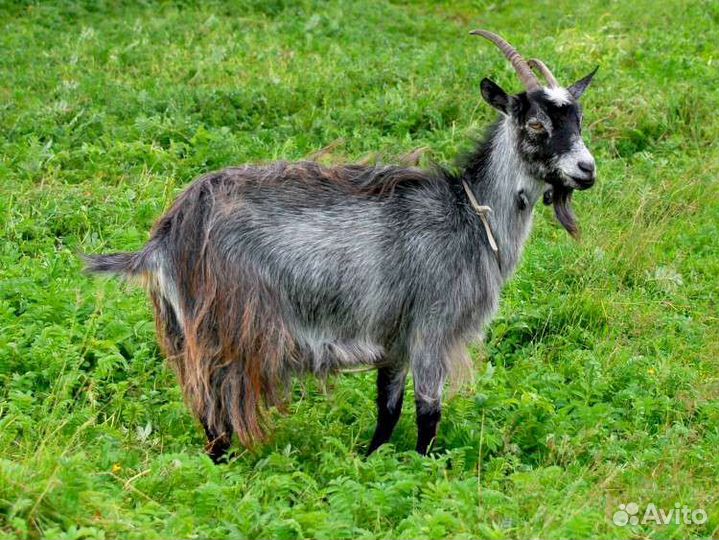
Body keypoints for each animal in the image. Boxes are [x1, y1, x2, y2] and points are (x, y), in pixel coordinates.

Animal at [85, 30, 598, 462]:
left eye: (578, 118)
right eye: (536, 124)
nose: (587, 169)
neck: (472, 214)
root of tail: (165, 238)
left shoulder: (394, 338)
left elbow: (387, 408)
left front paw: (368, 462)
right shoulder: (432, 325)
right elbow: (427, 413)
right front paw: (424, 470)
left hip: (180, 328)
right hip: (224, 327)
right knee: (214, 412)